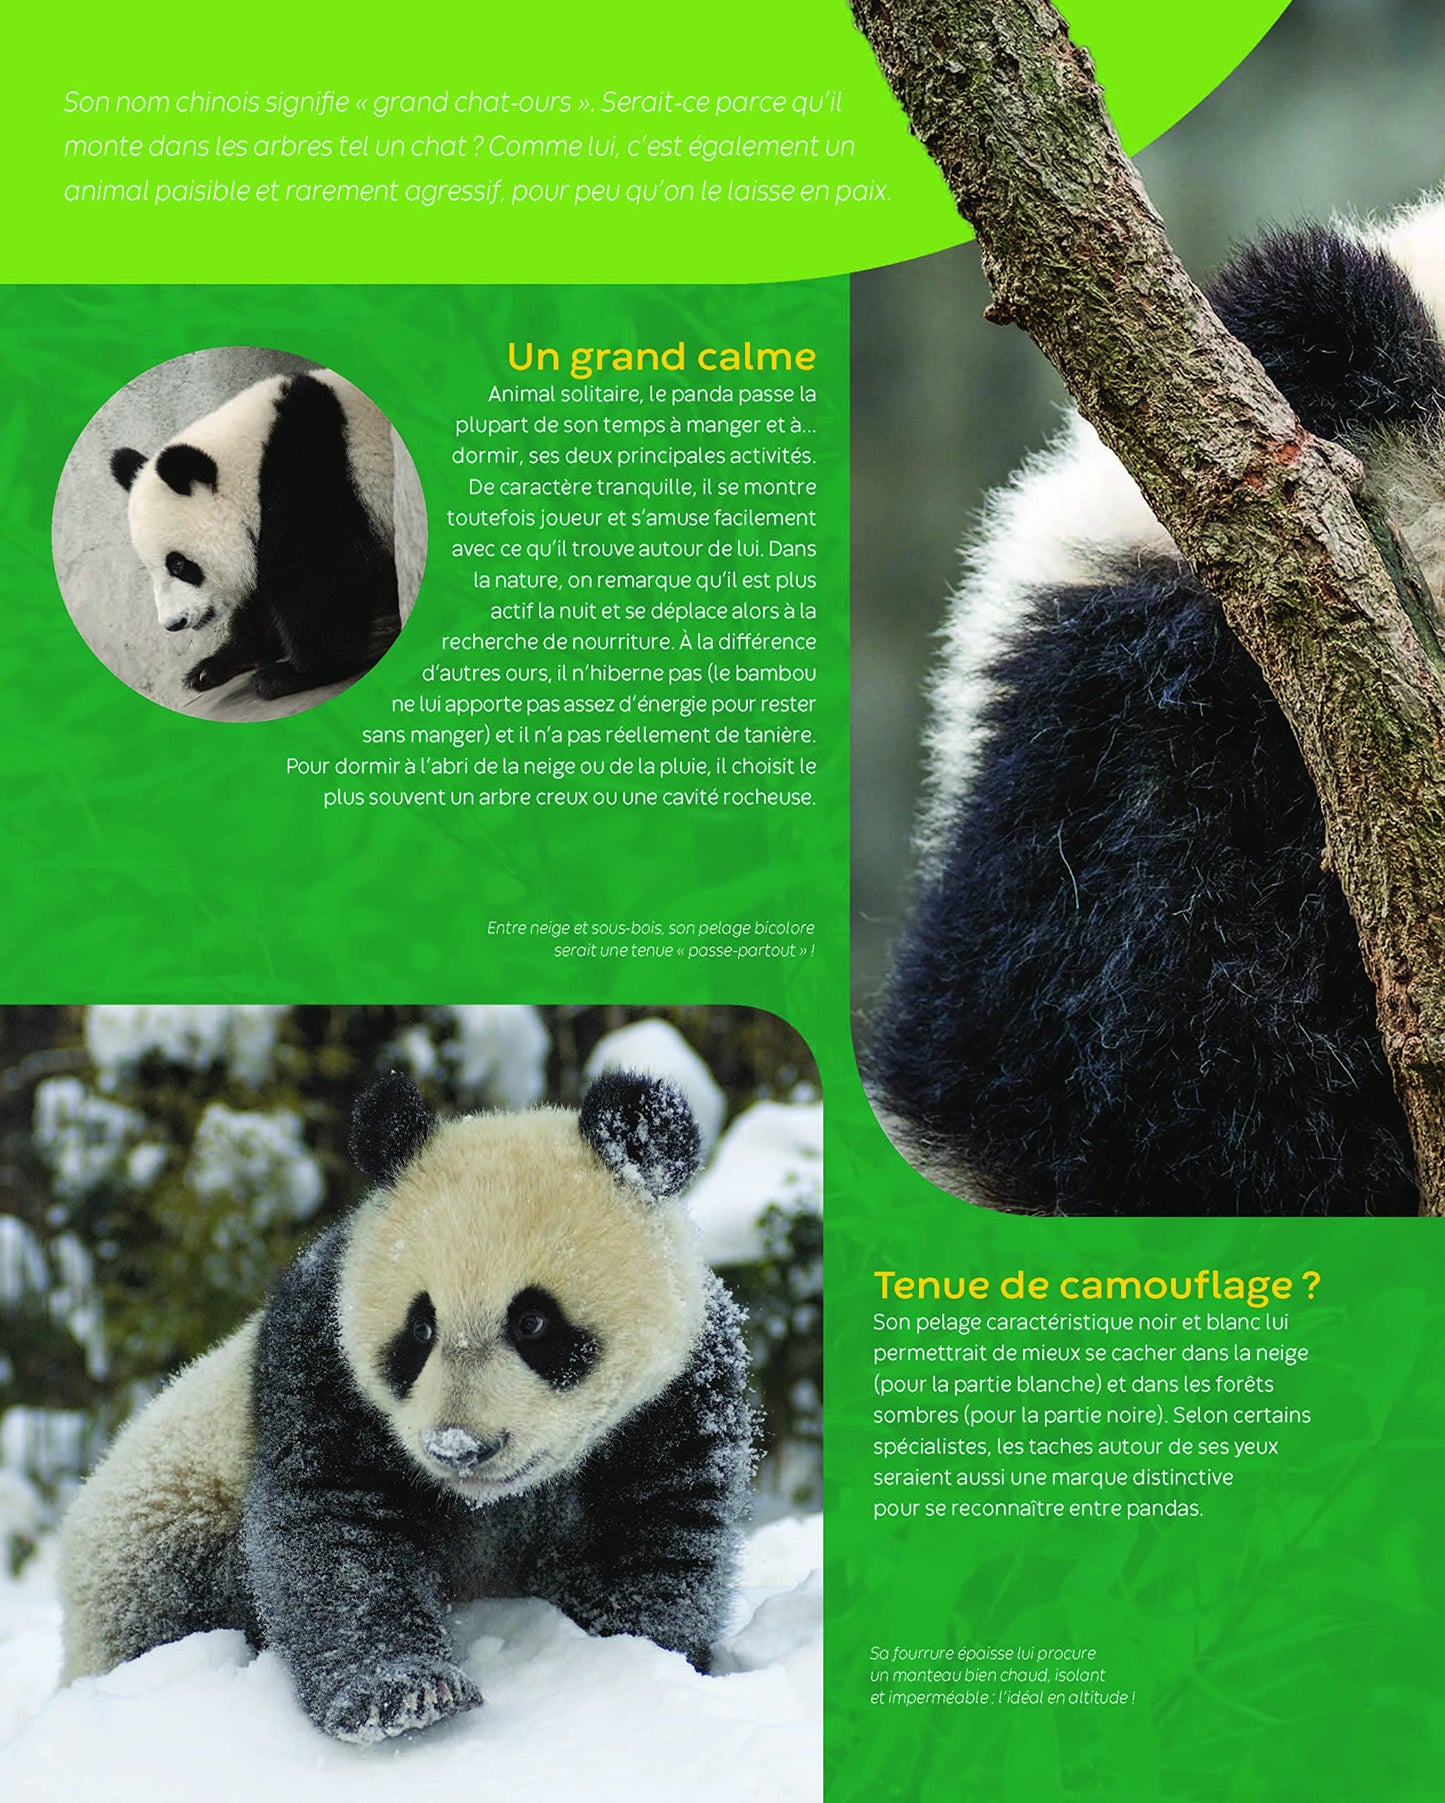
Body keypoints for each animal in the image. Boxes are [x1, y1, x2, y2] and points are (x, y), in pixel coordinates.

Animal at [58, 1069, 753, 1742]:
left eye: (533, 1322)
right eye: (420, 1328)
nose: (459, 1447)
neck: (490, 1502)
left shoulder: (678, 1396)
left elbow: (657, 1537)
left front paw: (623, 1658)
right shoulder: (321, 1360)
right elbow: (334, 1528)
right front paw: (407, 1694)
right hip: (159, 1516)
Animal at [110, 366, 402, 699]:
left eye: (179, 564)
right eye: (151, 569)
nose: (173, 623)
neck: (252, 463)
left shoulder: (312, 478)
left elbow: (319, 580)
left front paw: (294, 673)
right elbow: (262, 597)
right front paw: (212, 667)